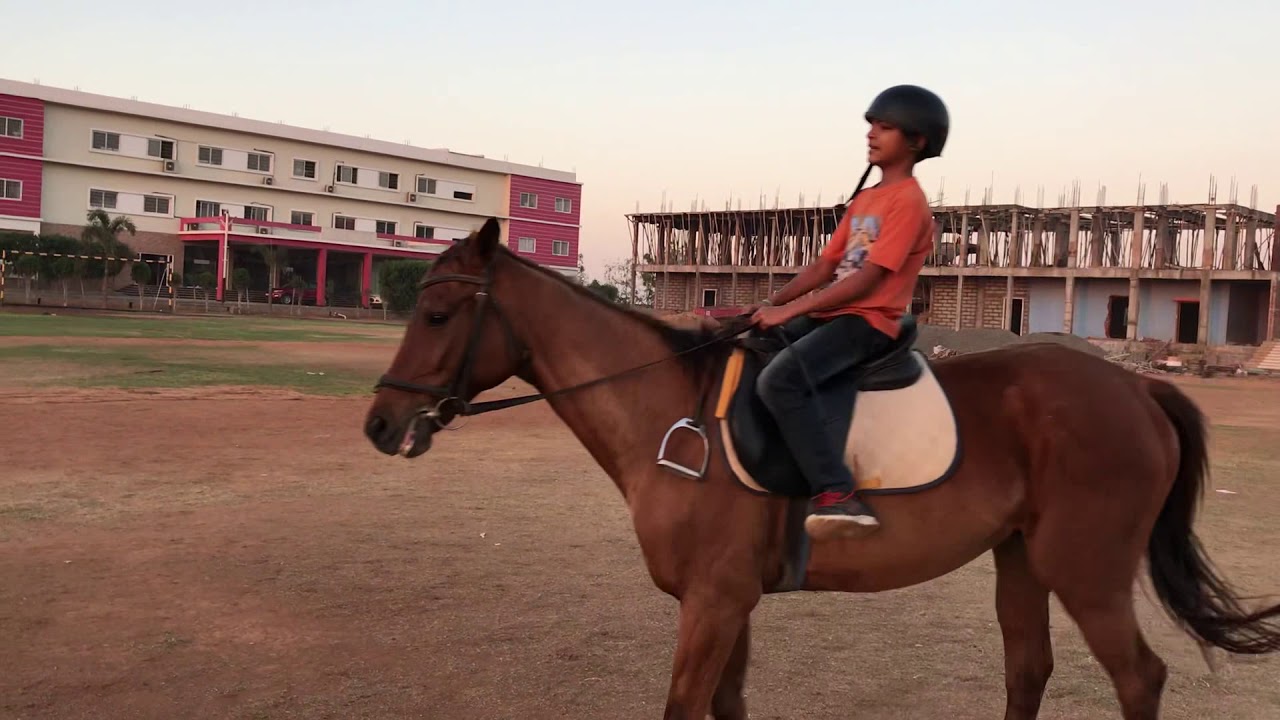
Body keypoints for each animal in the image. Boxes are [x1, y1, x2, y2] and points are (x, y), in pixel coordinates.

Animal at [363, 218, 1280, 720]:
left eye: (437, 315)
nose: (380, 423)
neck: (671, 408)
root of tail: (1134, 384)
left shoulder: (714, 600)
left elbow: (684, 706)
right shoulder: (727, 601)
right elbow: (725, 704)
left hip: (1084, 570)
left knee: (1140, 679)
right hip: (1022, 560)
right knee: (1029, 673)